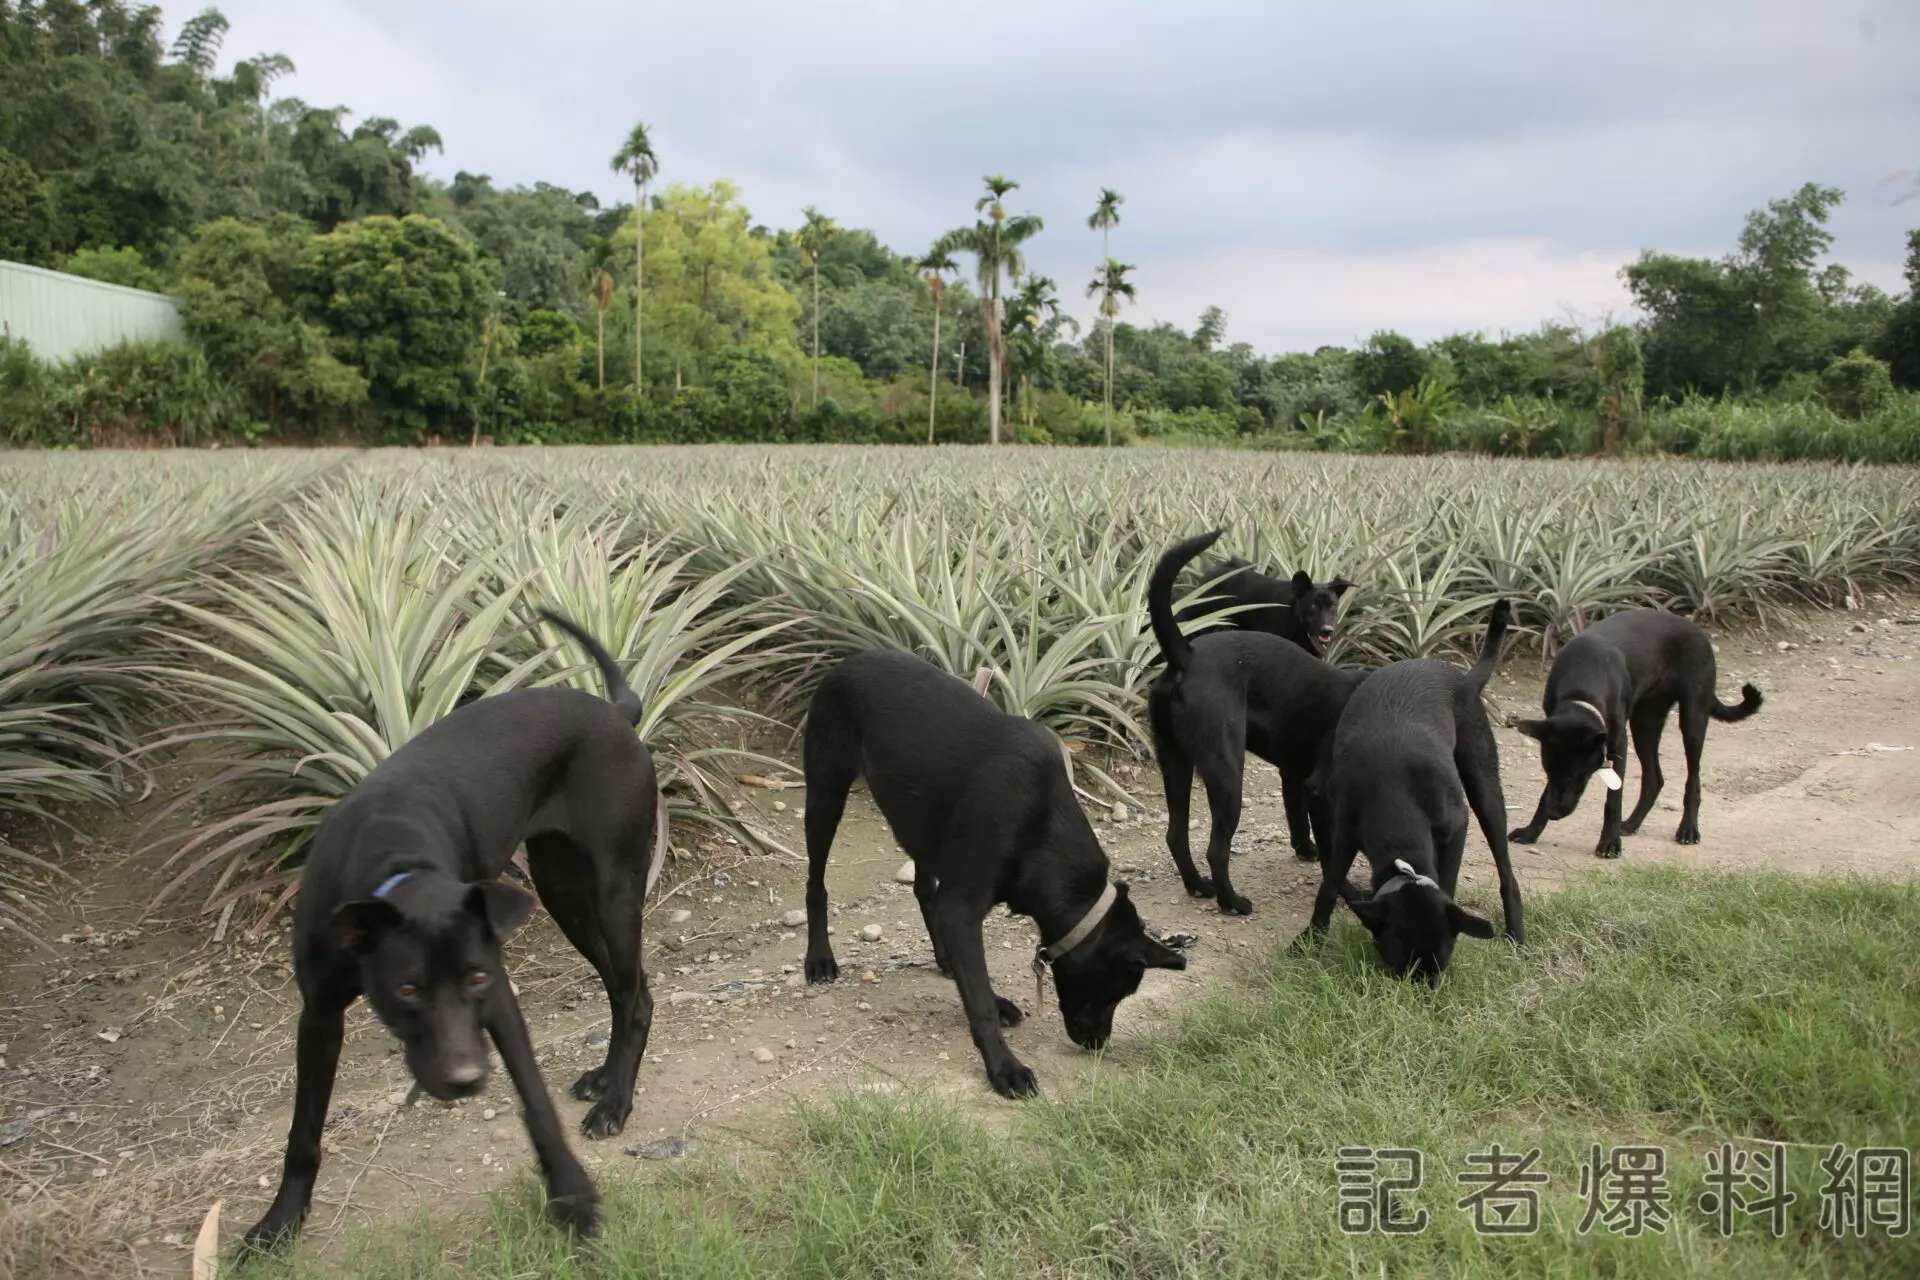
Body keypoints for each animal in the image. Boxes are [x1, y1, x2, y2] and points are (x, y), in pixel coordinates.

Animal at [794, 652, 1182, 1105]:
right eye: (1119, 988)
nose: (1099, 1044)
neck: (1040, 824)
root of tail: (852, 659)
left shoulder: (960, 900)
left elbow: (974, 975)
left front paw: (992, 1001)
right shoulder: (963, 907)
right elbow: (976, 999)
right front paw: (1004, 1067)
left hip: (922, 822)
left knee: (924, 890)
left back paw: (944, 958)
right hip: (826, 792)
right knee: (816, 884)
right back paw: (819, 958)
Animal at [1297, 606, 1520, 990]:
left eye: (1439, 966)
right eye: (1400, 965)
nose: (1423, 993)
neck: (1395, 795)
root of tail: (1462, 678)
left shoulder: (1457, 825)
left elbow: (1449, 881)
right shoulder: (1345, 833)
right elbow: (1328, 886)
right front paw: (1310, 940)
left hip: (1484, 785)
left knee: (1505, 867)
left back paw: (1517, 932)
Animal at [1505, 610, 1758, 855]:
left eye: (1576, 775)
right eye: (1548, 772)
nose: (1554, 814)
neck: (1582, 685)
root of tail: (1695, 629)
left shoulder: (1618, 743)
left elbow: (1613, 799)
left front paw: (1609, 843)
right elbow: (1545, 794)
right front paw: (1531, 832)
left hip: (1692, 718)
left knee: (1693, 779)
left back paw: (1688, 829)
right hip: (1645, 722)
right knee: (1654, 778)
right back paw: (1632, 824)